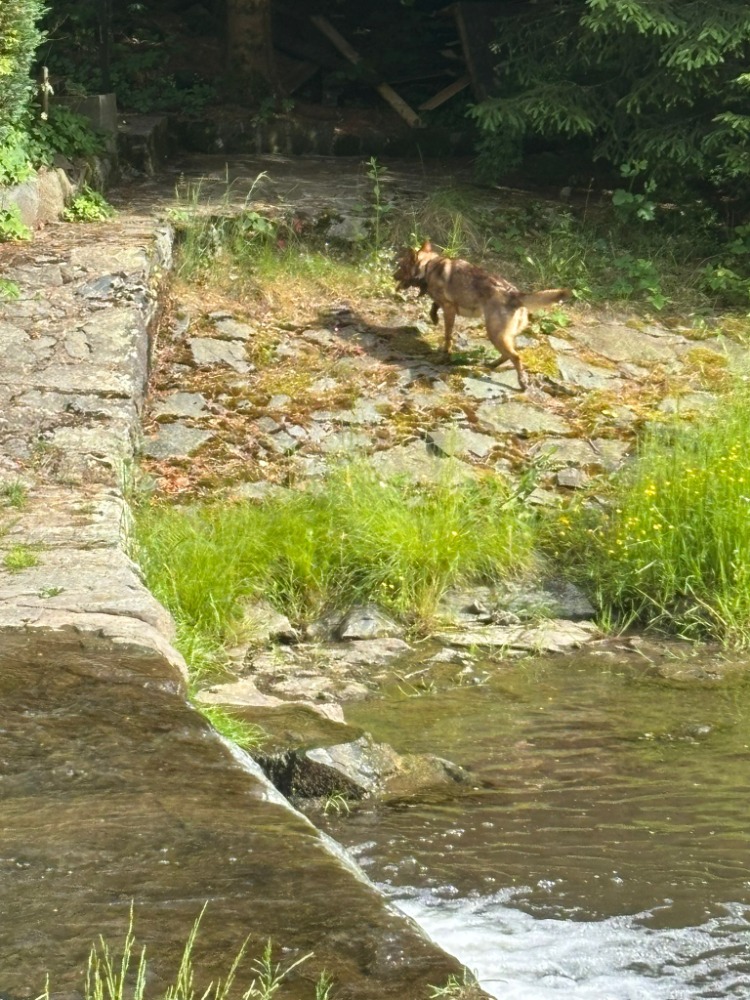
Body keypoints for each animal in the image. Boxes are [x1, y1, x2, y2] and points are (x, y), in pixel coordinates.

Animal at [394, 241, 570, 390]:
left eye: (401, 266)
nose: (393, 276)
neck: (429, 266)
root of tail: (516, 295)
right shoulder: (446, 305)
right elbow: (434, 305)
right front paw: (434, 317)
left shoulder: (449, 309)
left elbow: (447, 336)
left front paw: (445, 354)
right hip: (503, 335)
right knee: (508, 355)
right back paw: (492, 365)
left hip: (494, 333)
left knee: (516, 357)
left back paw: (522, 382)